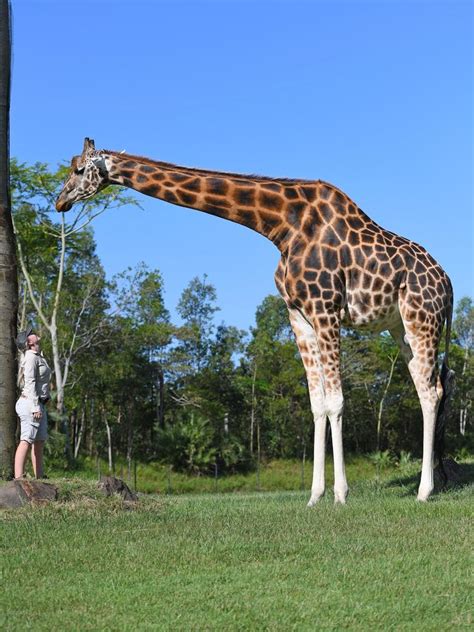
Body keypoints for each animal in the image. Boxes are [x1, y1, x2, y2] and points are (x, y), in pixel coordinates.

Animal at [56, 138, 456, 504]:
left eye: (78, 169)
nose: (60, 201)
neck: (281, 225)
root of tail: (448, 285)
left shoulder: (326, 308)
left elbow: (337, 401)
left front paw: (341, 495)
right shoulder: (298, 314)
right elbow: (318, 404)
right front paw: (315, 496)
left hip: (422, 320)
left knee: (431, 391)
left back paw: (424, 491)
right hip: (401, 328)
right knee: (427, 389)